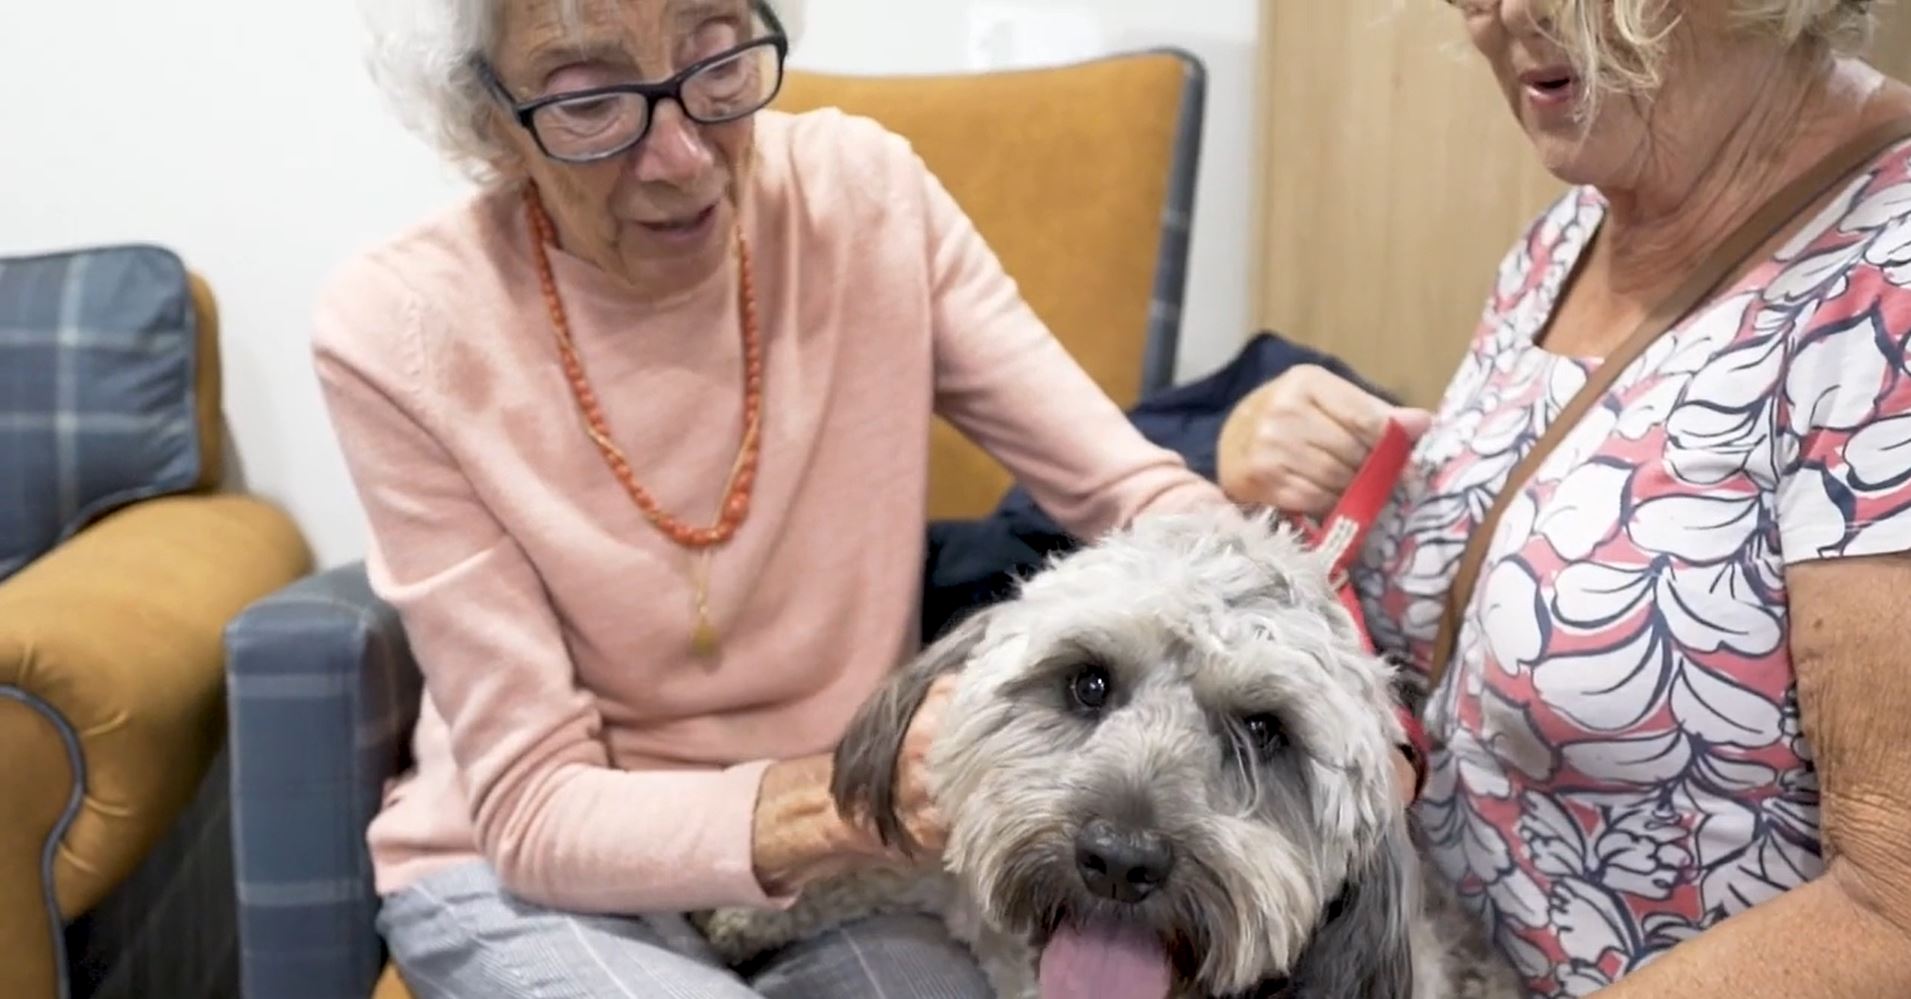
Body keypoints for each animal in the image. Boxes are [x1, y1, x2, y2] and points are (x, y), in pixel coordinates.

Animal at [695, 511, 1513, 993]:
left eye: (1263, 730)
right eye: (1088, 682)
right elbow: (861, 871)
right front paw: (749, 914)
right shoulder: (945, 872)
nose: (1120, 860)